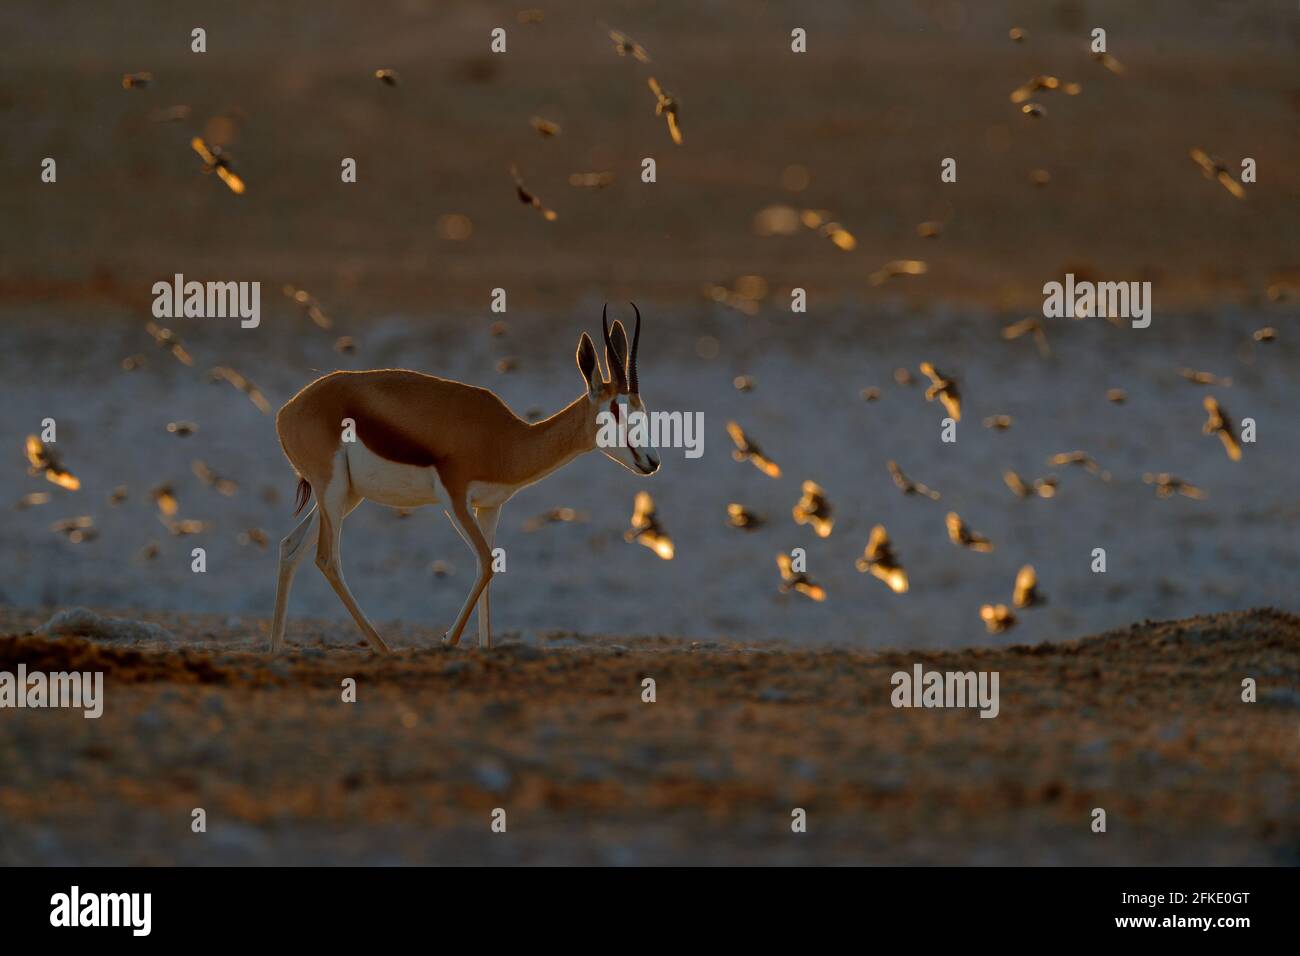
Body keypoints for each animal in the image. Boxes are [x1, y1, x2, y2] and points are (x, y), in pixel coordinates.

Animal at [271, 306, 660, 658]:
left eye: (640, 407)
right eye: (615, 409)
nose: (651, 461)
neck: (506, 441)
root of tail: (287, 411)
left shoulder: (489, 506)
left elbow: (489, 565)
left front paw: (485, 647)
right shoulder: (455, 499)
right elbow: (486, 562)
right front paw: (447, 641)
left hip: (345, 497)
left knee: (291, 547)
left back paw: (277, 648)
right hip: (333, 491)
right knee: (326, 558)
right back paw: (383, 648)